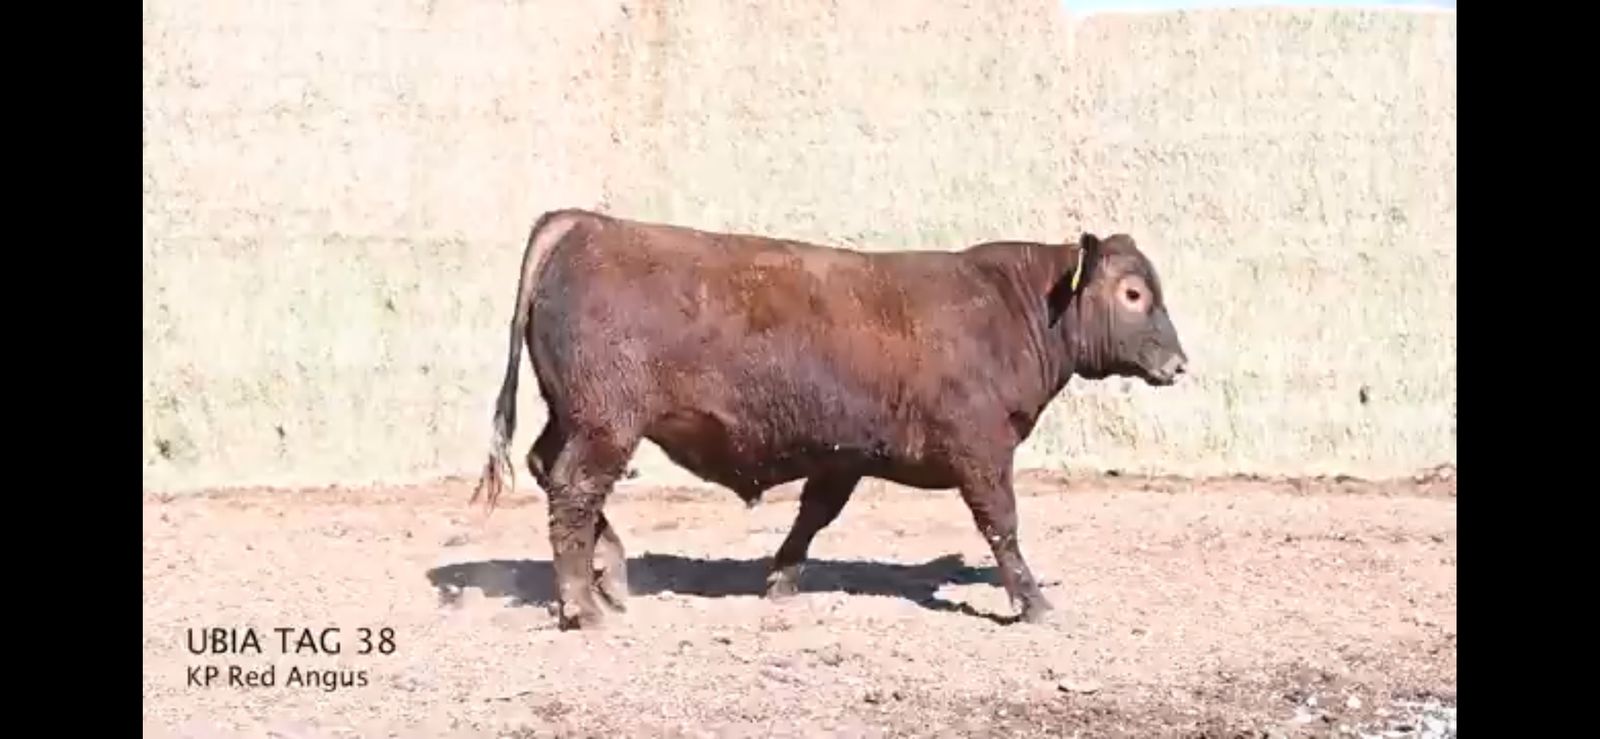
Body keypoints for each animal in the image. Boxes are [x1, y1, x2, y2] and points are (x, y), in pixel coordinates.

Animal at [470, 208, 1188, 630]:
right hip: (605, 425)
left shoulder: (844, 457)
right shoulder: (982, 452)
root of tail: (588, 223)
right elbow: (1001, 526)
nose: (1179, 364)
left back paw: (610, 576)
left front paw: (779, 581)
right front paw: (1033, 601)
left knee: (551, 473)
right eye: (1133, 293)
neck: (1007, 309)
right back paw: (583, 605)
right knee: (574, 491)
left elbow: (812, 517)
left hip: (573, 417)